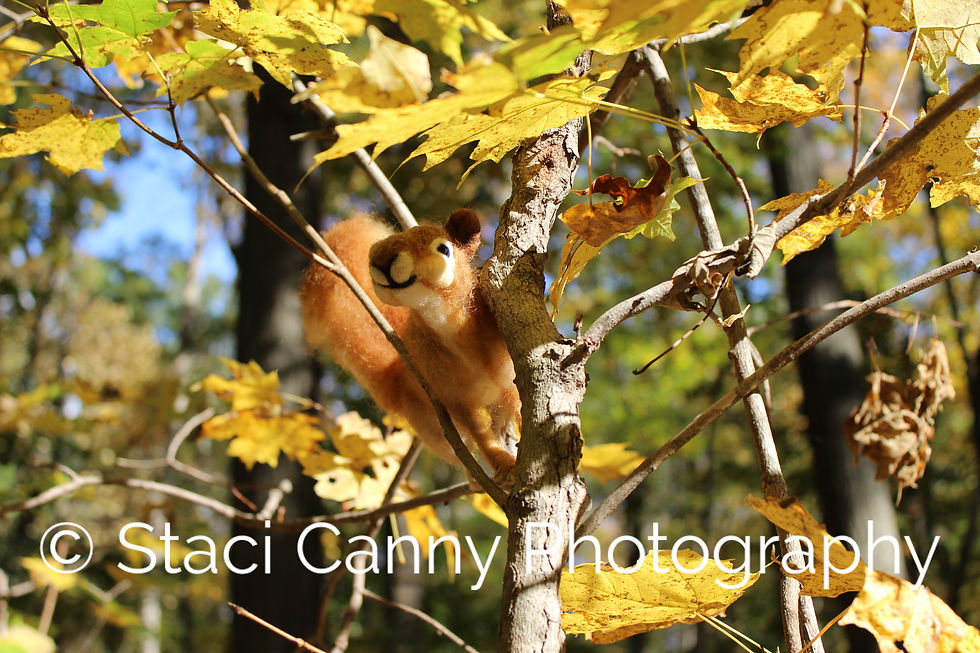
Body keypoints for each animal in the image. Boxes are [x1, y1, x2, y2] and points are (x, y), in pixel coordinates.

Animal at [300, 209, 520, 481]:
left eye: (443, 249)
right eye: (377, 247)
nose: (382, 257)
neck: (453, 331)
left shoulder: (509, 374)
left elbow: (521, 406)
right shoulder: (455, 400)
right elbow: (482, 437)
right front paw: (504, 465)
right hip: (433, 428)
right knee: (464, 451)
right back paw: (474, 481)